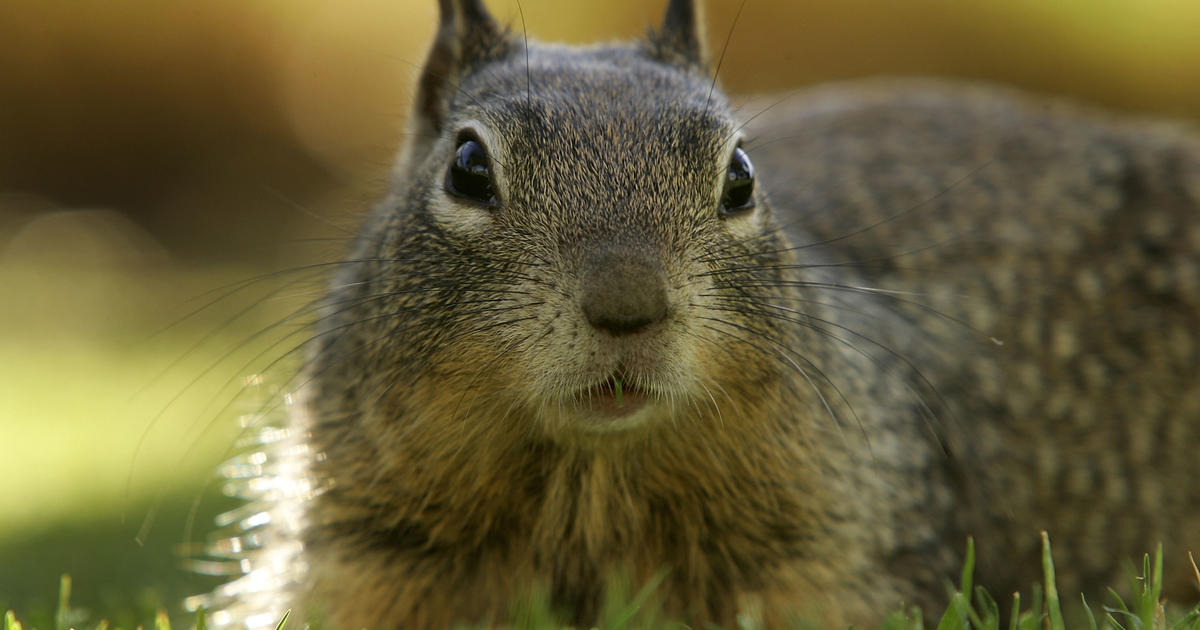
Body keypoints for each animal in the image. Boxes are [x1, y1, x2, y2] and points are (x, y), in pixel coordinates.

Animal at [189, 0, 1200, 624]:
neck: (588, 483)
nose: (628, 307)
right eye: (468, 168)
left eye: (741, 176)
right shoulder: (360, 558)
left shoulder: (833, 560)